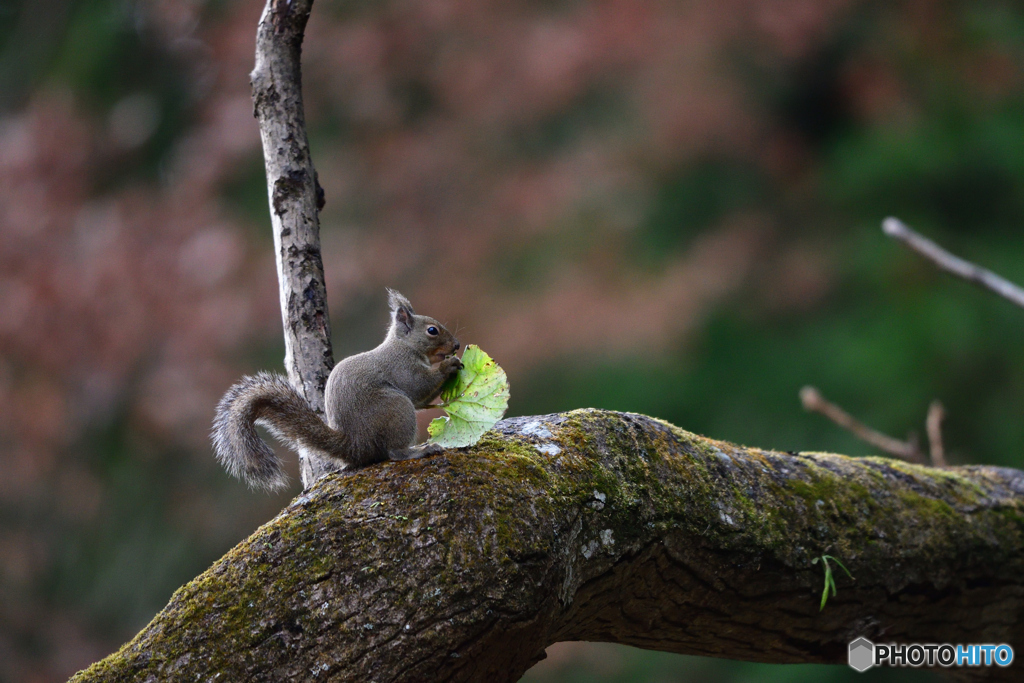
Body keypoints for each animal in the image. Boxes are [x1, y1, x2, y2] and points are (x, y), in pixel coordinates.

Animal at [214, 288, 462, 491]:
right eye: (432, 330)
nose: (457, 345)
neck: (404, 346)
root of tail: (354, 447)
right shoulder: (402, 367)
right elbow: (419, 387)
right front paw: (448, 365)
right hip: (396, 408)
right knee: (394, 452)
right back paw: (419, 450)